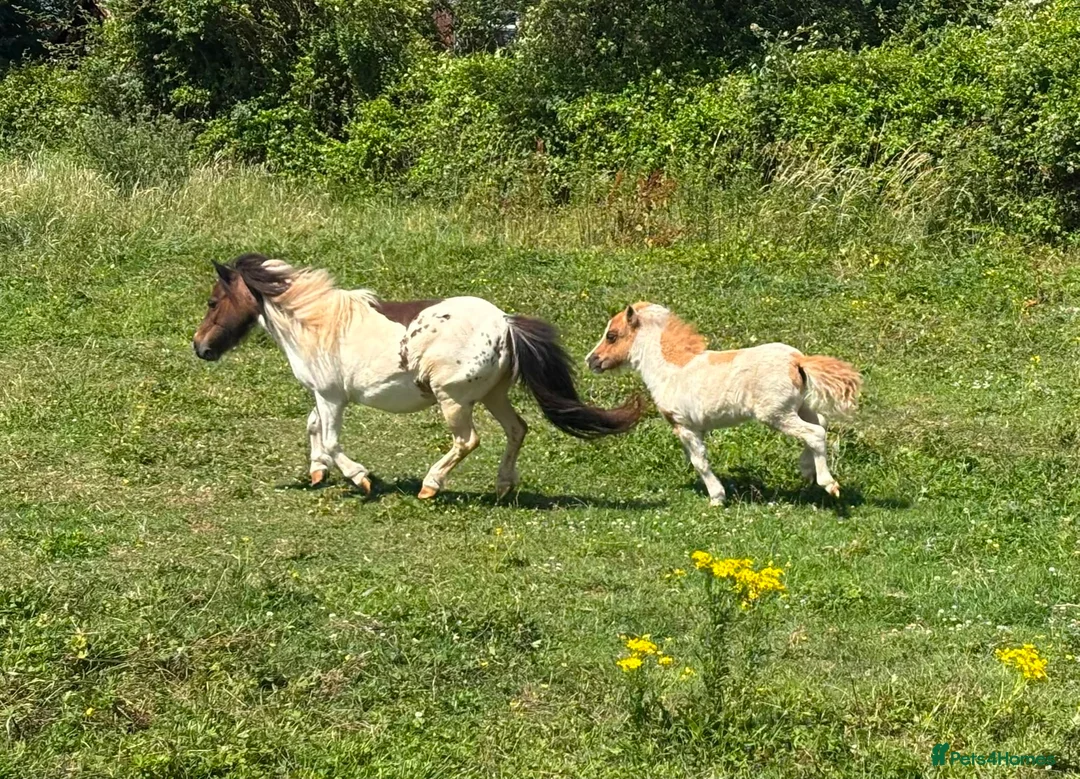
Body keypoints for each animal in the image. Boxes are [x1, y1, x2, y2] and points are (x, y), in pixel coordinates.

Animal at [192, 254, 642, 500]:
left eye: (213, 301)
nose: (200, 347)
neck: (317, 323)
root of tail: (506, 323)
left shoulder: (332, 396)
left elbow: (333, 440)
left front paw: (360, 480)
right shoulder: (324, 396)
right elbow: (313, 426)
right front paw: (317, 471)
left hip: (453, 400)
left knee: (468, 441)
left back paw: (431, 485)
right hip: (493, 395)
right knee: (517, 429)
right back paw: (502, 486)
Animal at [585, 302, 861, 505]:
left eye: (612, 336)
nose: (592, 360)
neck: (671, 370)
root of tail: (798, 360)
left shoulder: (684, 426)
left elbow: (699, 462)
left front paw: (717, 498)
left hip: (776, 414)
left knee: (814, 433)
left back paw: (828, 484)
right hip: (800, 407)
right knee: (820, 426)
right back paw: (806, 470)